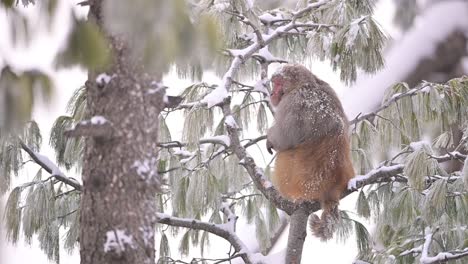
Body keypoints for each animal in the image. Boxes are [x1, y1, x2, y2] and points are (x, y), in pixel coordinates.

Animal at [266, 64, 354, 241]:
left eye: (277, 84)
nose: (271, 93)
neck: (306, 84)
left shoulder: (294, 101)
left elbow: (286, 136)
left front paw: (271, 139)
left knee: (284, 154)